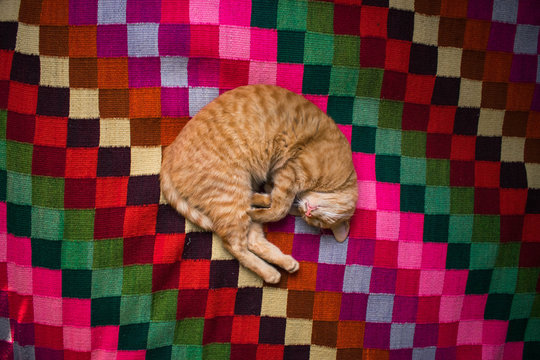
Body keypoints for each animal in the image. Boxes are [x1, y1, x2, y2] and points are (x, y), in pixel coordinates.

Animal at [162, 85, 360, 284]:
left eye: (316, 221)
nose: (308, 212)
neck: (341, 179)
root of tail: (169, 153)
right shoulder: (290, 171)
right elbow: (279, 209)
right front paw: (268, 206)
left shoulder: (282, 180)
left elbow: (274, 199)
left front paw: (262, 200)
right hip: (233, 192)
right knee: (234, 245)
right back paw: (269, 271)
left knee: (252, 241)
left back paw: (284, 262)